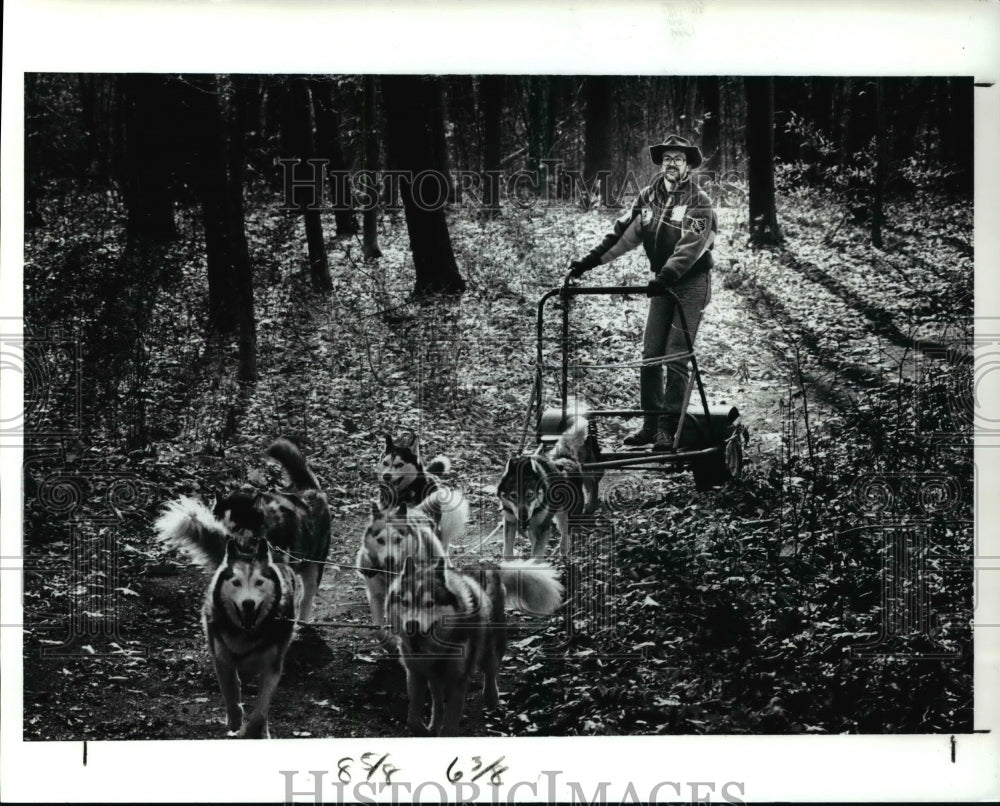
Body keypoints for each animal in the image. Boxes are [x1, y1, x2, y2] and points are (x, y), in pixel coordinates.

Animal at [152, 498, 300, 740]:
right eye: (236, 582)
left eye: (259, 582)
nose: (248, 603)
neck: (247, 634)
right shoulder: (222, 660)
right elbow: (231, 695)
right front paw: (235, 722)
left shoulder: (272, 666)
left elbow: (261, 709)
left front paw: (252, 730)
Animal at [354, 498, 444, 644]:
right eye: (380, 540)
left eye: (398, 539)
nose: (389, 559)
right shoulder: (375, 595)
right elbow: (378, 630)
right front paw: (390, 643)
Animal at [388, 556, 564, 740]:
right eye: (405, 603)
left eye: (429, 604)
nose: (411, 625)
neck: (435, 650)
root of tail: (486, 563)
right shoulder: (415, 674)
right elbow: (413, 720)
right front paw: (425, 731)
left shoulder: (458, 680)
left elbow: (449, 726)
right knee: (437, 700)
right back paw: (434, 725)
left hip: (491, 647)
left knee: (491, 671)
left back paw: (491, 698)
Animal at [498, 416, 600, 560]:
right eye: (513, 495)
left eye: (530, 495)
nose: (523, 516)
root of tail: (566, 459)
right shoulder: (510, 521)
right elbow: (507, 549)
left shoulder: (543, 527)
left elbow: (537, 553)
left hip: (565, 515)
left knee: (565, 532)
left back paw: (563, 549)